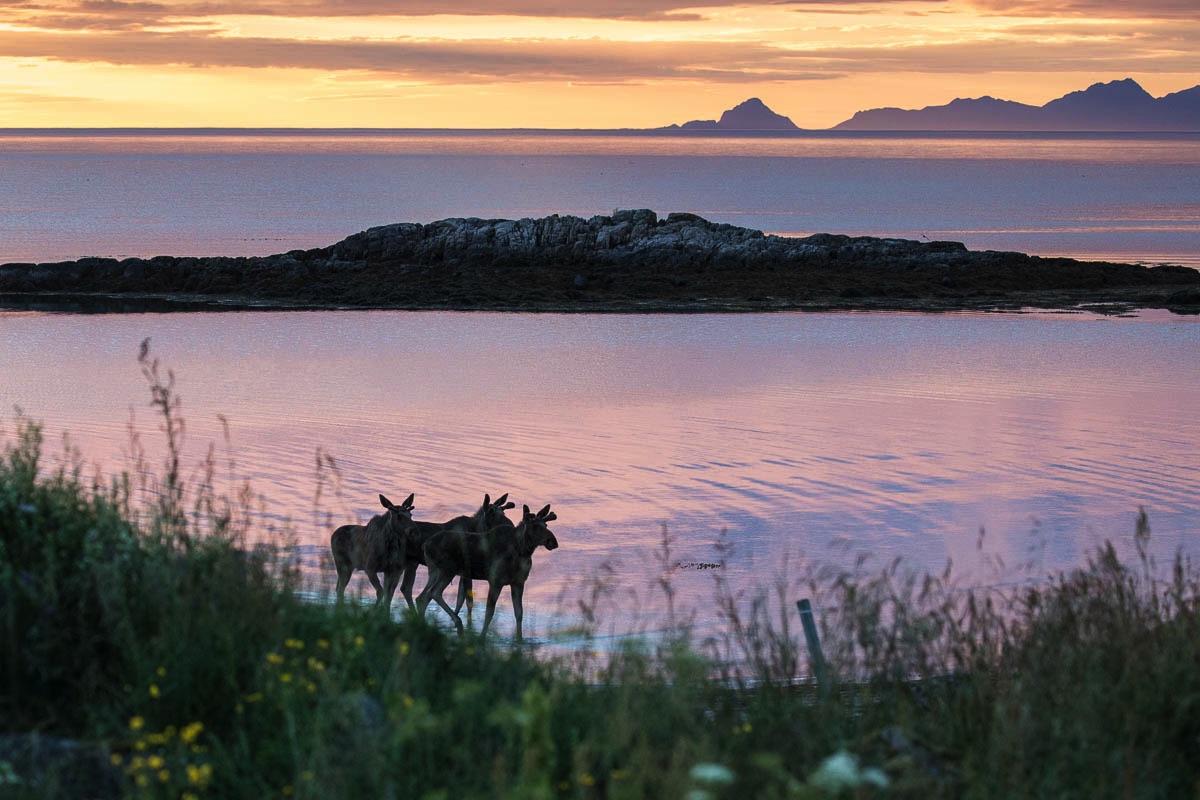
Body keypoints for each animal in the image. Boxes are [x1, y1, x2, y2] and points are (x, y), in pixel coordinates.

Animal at [417, 503, 556, 642]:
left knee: (422, 597)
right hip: (448, 570)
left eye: (546, 525)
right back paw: (458, 623)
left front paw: (519, 640)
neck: (521, 552)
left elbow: (519, 613)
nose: (553, 541)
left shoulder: (518, 582)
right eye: (535, 526)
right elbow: (489, 612)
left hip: (434, 572)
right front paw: (482, 636)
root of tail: (425, 544)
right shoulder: (496, 581)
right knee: (434, 593)